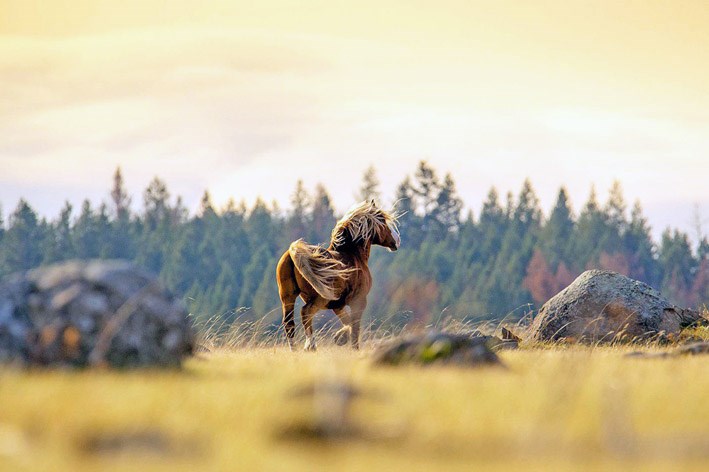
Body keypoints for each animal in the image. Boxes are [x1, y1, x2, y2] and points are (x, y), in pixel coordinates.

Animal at [276, 199, 398, 350]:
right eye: (383, 221)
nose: (396, 241)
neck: (353, 254)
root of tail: (293, 252)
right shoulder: (358, 301)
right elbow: (354, 328)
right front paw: (348, 343)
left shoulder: (338, 306)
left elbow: (348, 322)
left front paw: (340, 337)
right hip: (319, 298)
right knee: (305, 312)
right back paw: (310, 346)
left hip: (288, 296)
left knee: (289, 323)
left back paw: (295, 350)